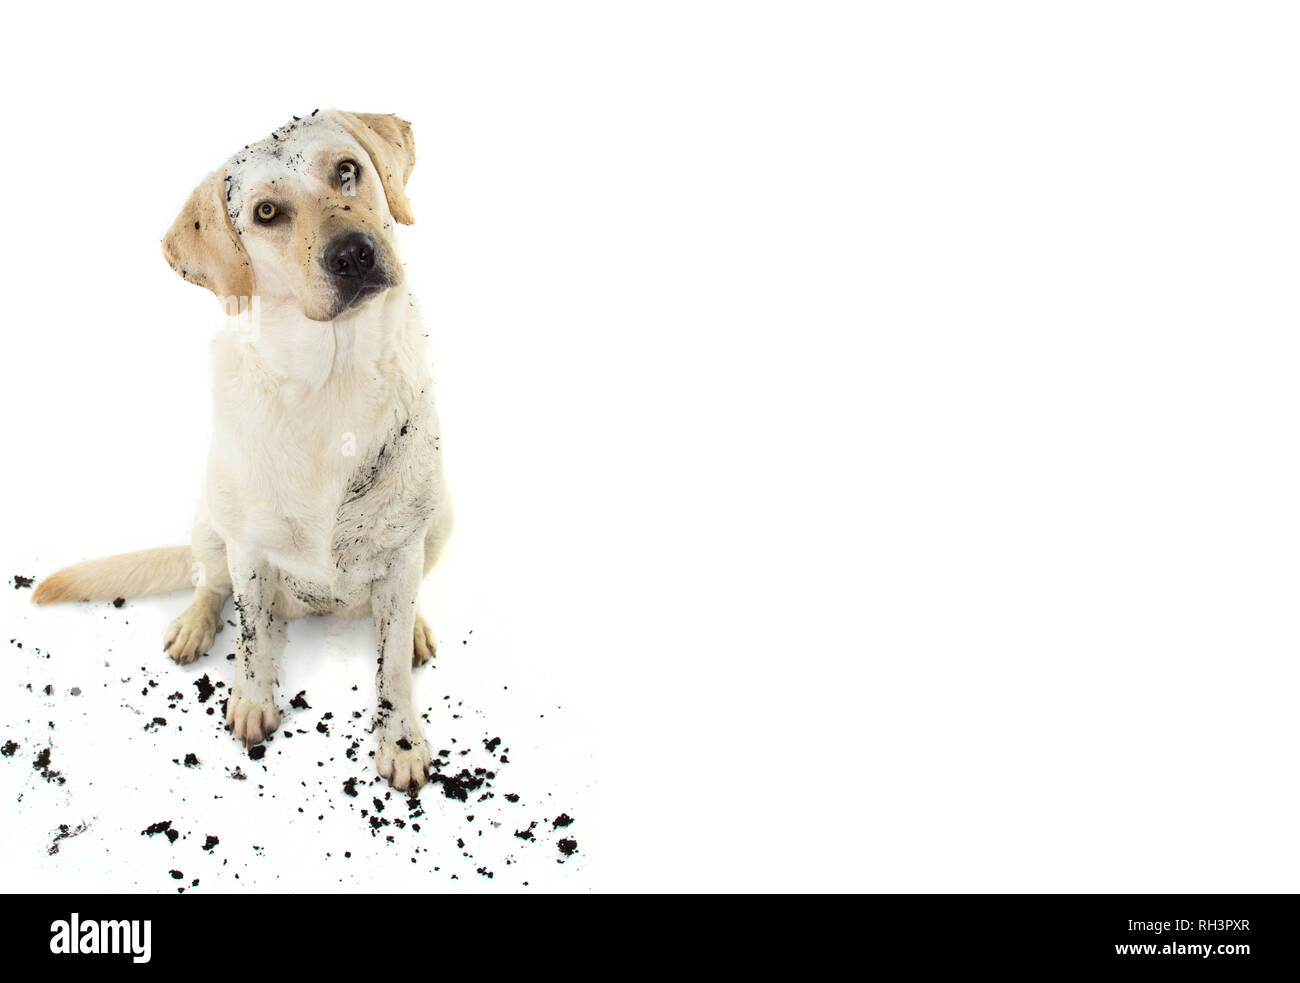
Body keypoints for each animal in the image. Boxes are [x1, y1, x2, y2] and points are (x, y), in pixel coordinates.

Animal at [30, 111, 452, 795]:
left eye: (347, 170)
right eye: (267, 212)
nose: (354, 253)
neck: (332, 383)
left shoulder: (402, 546)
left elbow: (388, 668)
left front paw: (402, 741)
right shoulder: (250, 549)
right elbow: (251, 638)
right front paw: (252, 702)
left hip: (439, 524)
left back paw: (412, 627)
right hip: (210, 519)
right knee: (211, 582)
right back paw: (194, 624)